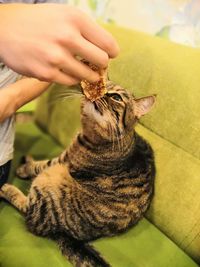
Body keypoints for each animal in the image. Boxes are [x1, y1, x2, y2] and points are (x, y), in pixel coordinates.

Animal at [0, 81, 156, 267]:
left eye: (116, 97)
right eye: (103, 85)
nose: (97, 94)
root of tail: (64, 232)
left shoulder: (63, 160)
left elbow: (39, 166)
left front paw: (23, 169)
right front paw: (28, 162)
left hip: (47, 183)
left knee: (29, 210)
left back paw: (7, 188)